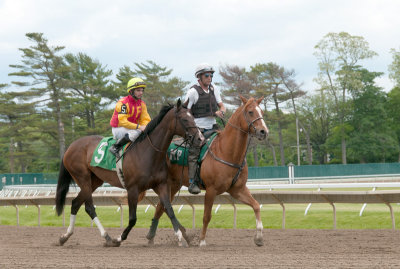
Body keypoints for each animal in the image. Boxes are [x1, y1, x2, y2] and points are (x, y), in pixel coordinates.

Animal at [55, 99, 203, 246]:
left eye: (193, 117)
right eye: (184, 119)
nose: (200, 138)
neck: (149, 153)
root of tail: (70, 146)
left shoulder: (161, 185)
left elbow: (169, 209)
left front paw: (180, 237)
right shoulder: (132, 189)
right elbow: (133, 218)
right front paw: (119, 238)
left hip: (95, 180)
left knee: (76, 203)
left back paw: (65, 237)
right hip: (82, 177)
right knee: (89, 207)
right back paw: (107, 237)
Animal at [146, 95, 268, 246]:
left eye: (261, 112)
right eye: (251, 112)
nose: (264, 132)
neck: (226, 152)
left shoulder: (238, 190)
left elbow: (256, 205)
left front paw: (259, 237)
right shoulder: (211, 190)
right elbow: (206, 216)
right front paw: (202, 240)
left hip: (174, 185)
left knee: (161, 207)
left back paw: (161, 237)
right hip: (167, 184)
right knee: (162, 207)